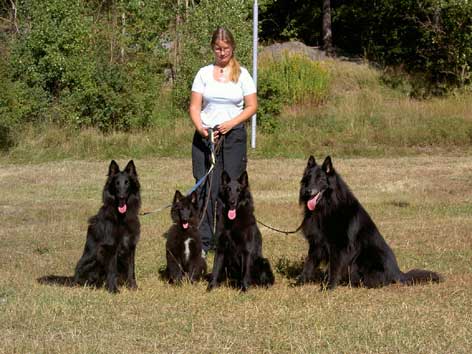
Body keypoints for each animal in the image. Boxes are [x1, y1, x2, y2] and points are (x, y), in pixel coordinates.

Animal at [37, 160, 141, 294]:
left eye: (127, 183)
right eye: (116, 184)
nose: (122, 197)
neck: (121, 217)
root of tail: (73, 277)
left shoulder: (131, 246)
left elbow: (131, 269)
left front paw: (133, 287)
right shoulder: (110, 247)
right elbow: (112, 270)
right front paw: (113, 290)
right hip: (95, 258)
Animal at [298, 156, 442, 290]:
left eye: (320, 179)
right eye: (308, 178)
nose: (307, 191)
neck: (326, 207)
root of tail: (398, 273)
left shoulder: (339, 246)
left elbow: (334, 268)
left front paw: (329, 286)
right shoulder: (316, 243)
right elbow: (309, 263)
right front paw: (301, 281)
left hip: (364, 255)